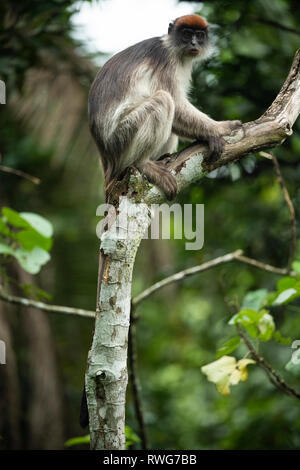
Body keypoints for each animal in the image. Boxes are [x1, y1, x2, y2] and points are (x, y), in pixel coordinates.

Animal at [88, 13, 240, 201]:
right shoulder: (165, 59)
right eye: (187, 34)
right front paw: (222, 128)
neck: (173, 49)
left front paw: (210, 136)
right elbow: (177, 106)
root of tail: (106, 160)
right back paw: (142, 164)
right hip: (120, 139)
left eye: (199, 35)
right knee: (164, 100)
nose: (194, 44)